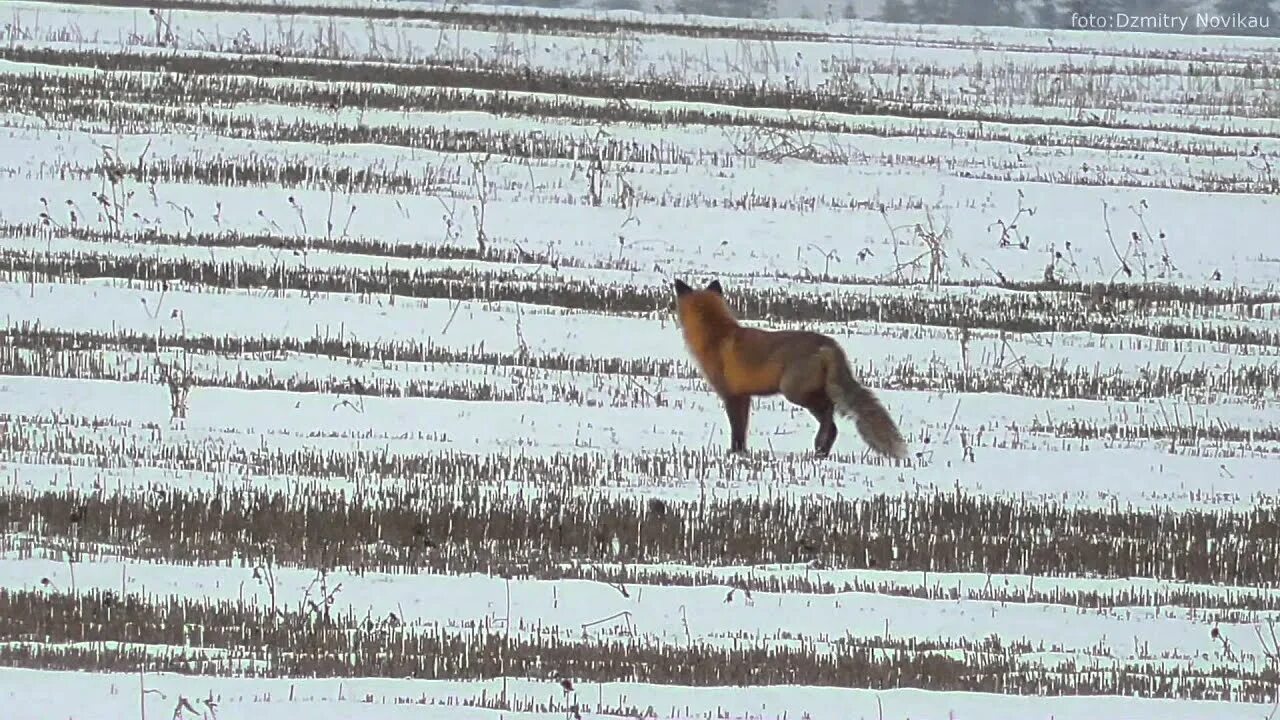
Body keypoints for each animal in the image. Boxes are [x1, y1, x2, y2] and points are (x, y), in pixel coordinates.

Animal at [670, 278, 911, 456]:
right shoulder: (745, 396)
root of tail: (828, 343)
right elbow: (742, 430)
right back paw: (822, 451)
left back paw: (820, 443)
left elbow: (736, 431)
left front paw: (734, 453)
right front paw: (742, 453)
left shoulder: (732, 395)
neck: (716, 336)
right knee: (832, 420)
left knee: (829, 414)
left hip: (794, 392)